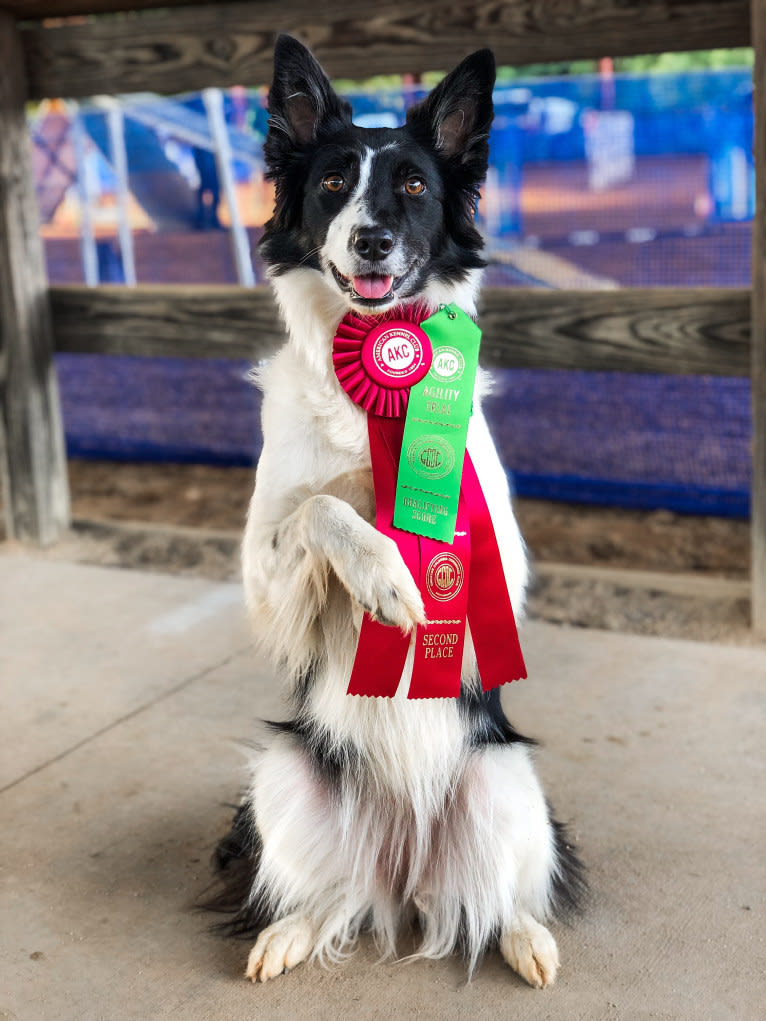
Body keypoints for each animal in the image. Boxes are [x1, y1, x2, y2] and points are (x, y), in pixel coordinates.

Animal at [210, 35, 580, 984]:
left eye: (413, 184)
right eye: (334, 180)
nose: (370, 238)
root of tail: (404, 868)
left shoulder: (499, 562)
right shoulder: (266, 577)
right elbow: (321, 508)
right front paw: (383, 575)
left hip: (504, 780)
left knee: (500, 897)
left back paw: (526, 939)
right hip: (282, 773)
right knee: (331, 895)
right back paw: (289, 932)